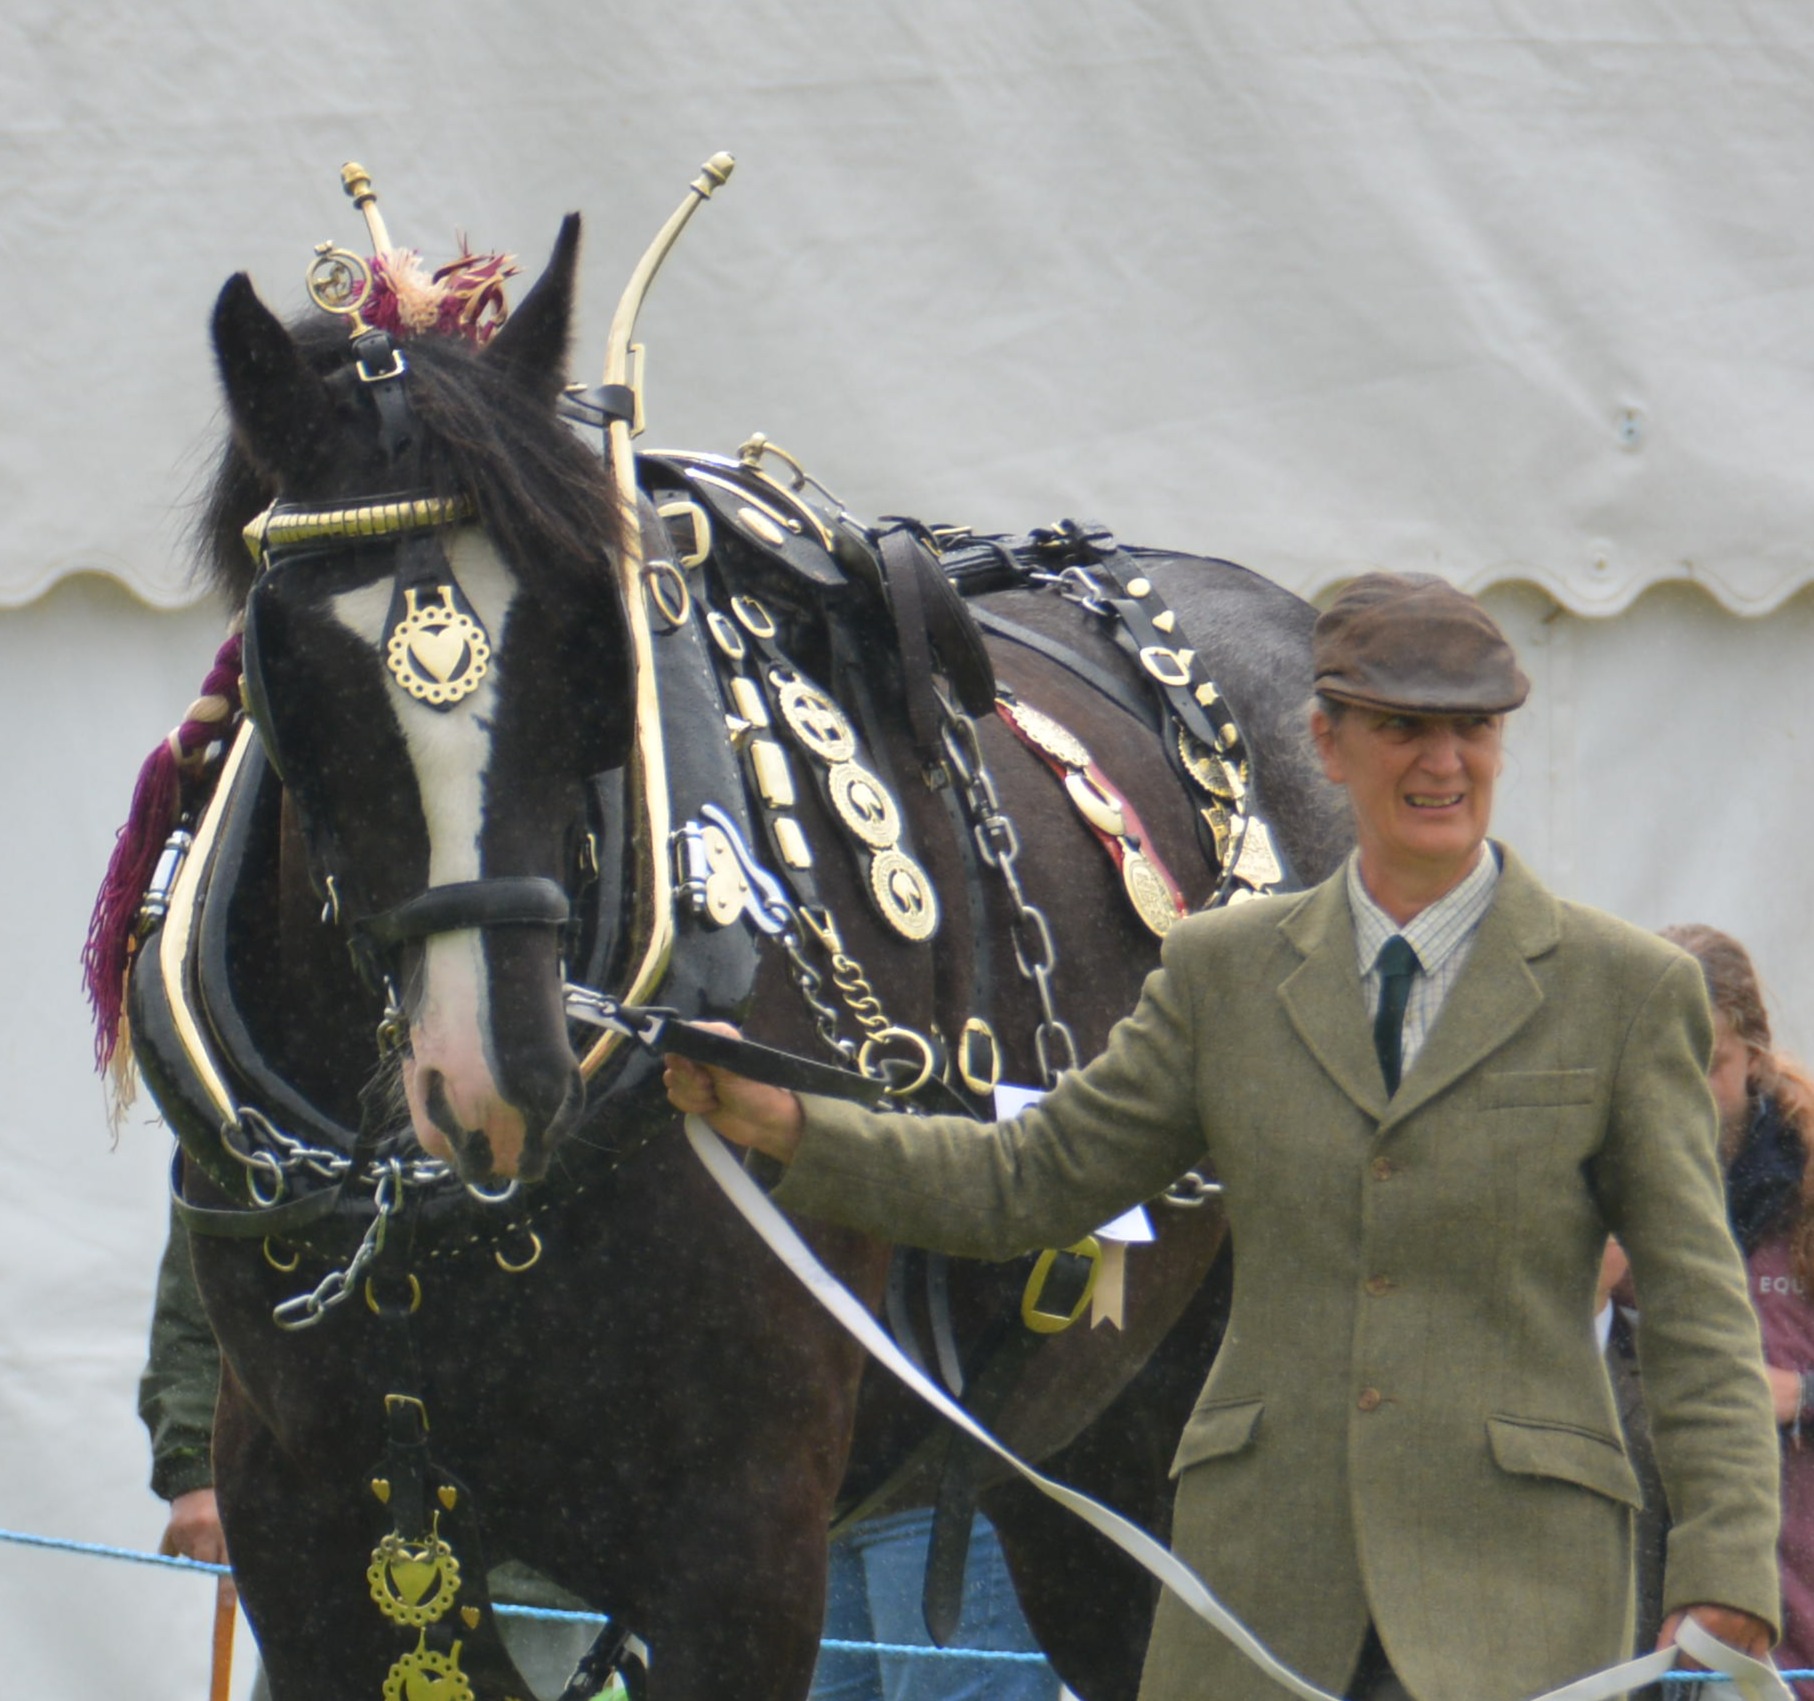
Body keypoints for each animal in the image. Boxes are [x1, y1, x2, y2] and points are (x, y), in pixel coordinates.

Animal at [107, 207, 1347, 1701]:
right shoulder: (314, 1538)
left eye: (591, 634)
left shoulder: (740, 1540)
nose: (497, 1076)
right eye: (290, 659)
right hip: (1094, 1469)